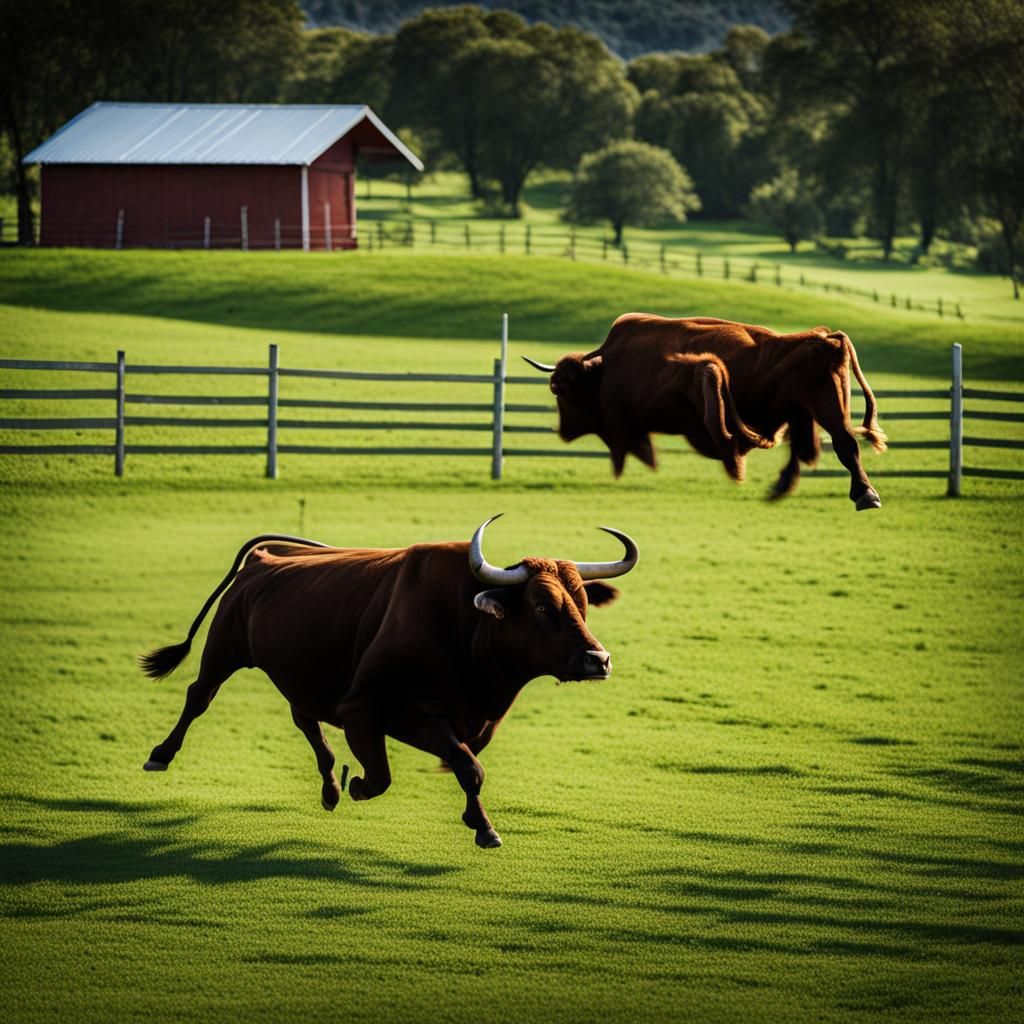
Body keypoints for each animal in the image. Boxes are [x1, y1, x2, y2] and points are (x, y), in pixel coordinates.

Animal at [140, 516, 638, 849]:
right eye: (539, 605)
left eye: (582, 603)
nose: (598, 659)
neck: (461, 626)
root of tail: (263, 559)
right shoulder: (367, 712)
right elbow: (405, 773)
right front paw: (360, 784)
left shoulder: (457, 723)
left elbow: (467, 766)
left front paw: (481, 825)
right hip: (223, 650)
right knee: (199, 696)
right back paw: (161, 754)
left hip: (301, 675)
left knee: (306, 720)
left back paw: (330, 787)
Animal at [524, 313, 887, 510]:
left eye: (560, 387)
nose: (562, 429)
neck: (607, 366)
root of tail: (822, 338)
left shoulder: (621, 428)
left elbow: (623, 456)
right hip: (817, 408)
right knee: (834, 445)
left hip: (820, 408)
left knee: (838, 446)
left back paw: (862, 495)